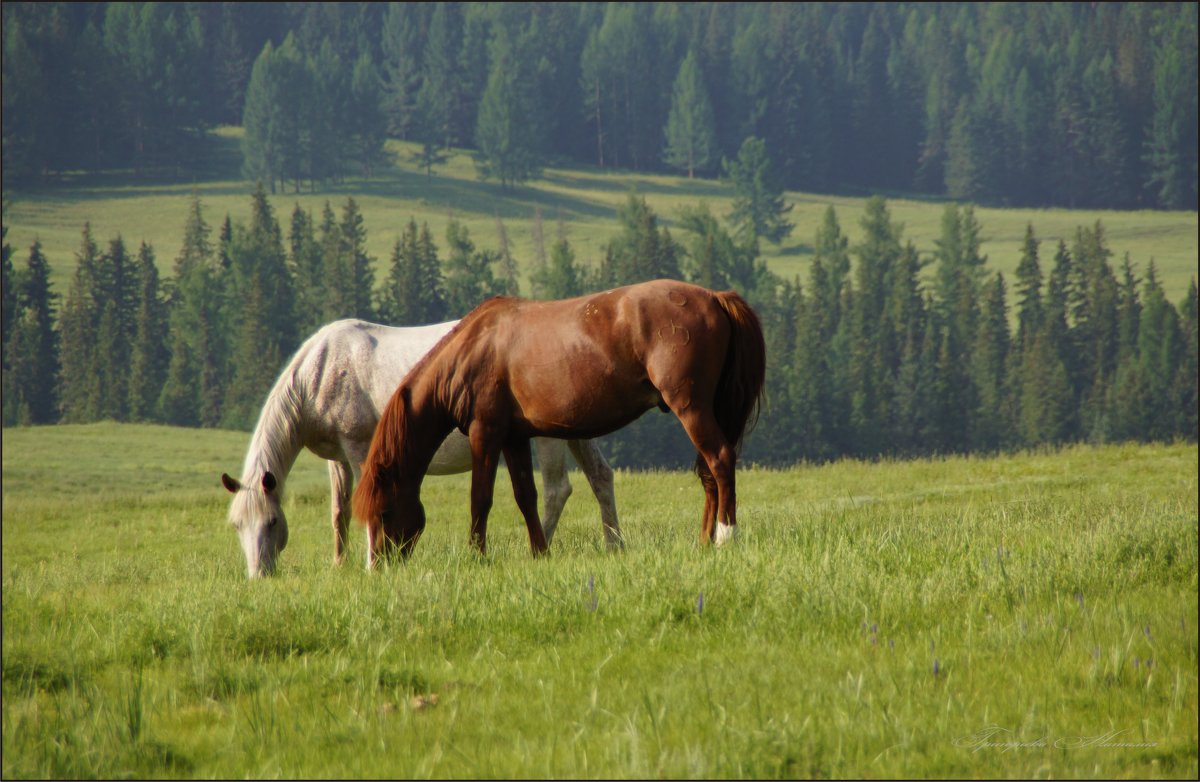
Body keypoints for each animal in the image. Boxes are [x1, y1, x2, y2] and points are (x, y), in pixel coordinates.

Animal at [219, 319, 624, 580]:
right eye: (237, 525)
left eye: (272, 522)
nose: (258, 577)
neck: (321, 370)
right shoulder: (337, 459)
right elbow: (339, 513)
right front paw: (339, 565)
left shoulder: (359, 446)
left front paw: (371, 565)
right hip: (574, 429)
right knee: (601, 477)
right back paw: (613, 543)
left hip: (547, 436)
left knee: (558, 489)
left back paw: (542, 546)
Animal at [355, 280, 763, 561]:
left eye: (384, 511)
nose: (378, 566)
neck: (474, 349)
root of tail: (715, 297)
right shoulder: (514, 437)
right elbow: (526, 496)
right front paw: (539, 553)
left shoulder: (485, 433)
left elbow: (480, 498)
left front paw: (476, 556)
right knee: (709, 473)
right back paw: (704, 541)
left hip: (692, 409)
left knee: (720, 461)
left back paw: (725, 536)